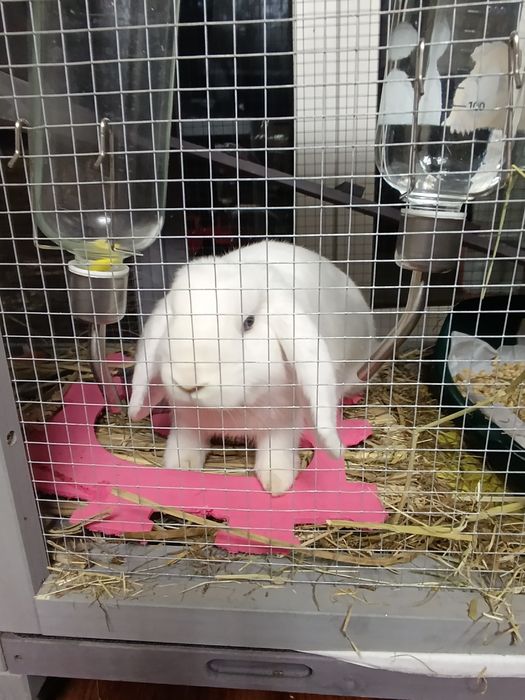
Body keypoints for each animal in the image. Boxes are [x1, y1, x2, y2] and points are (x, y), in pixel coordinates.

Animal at [129, 240, 375, 495]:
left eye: (249, 322)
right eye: (174, 318)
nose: (187, 381)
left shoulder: (283, 421)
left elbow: (276, 449)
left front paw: (277, 482)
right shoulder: (186, 420)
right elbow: (185, 443)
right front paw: (181, 466)